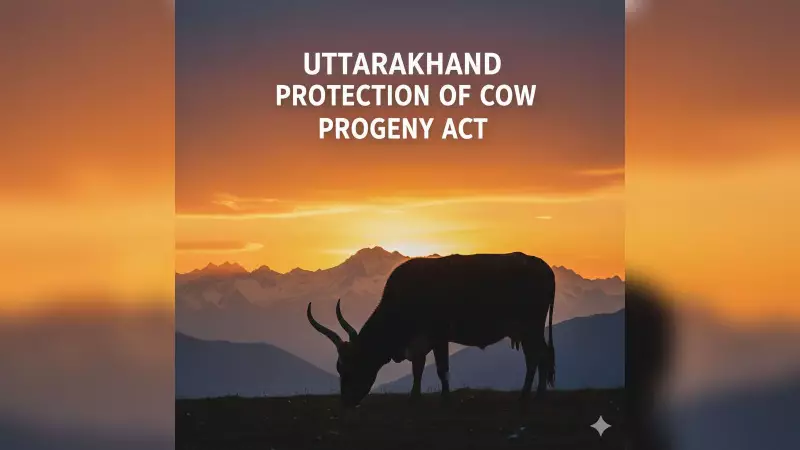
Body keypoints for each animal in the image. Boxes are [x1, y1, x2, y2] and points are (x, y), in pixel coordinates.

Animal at [306, 252, 556, 408]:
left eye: (349, 367)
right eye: (338, 368)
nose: (346, 402)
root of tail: (543, 266)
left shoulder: (436, 337)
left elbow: (437, 368)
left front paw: (438, 398)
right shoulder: (425, 341)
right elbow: (423, 369)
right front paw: (420, 397)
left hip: (531, 326)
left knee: (538, 355)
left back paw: (531, 395)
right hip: (527, 330)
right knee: (538, 355)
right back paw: (534, 394)